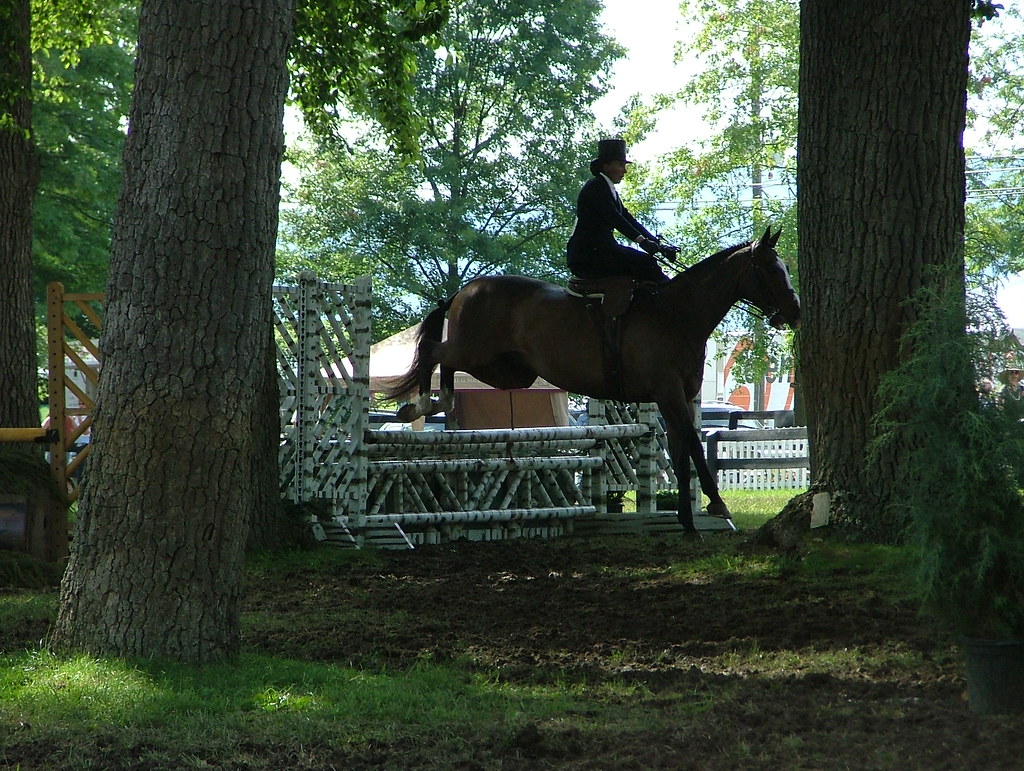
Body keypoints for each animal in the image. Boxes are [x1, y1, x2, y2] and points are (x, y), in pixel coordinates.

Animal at [383, 226, 801, 533]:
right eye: (770, 269)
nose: (795, 312)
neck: (677, 314)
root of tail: (465, 290)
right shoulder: (669, 394)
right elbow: (696, 448)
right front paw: (716, 504)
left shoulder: (678, 397)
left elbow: (683, 452)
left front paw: (687, 520)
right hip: (475, 352)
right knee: (434, 353)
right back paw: (420, 405)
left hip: (507, 370)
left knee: (446, 362)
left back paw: (436, 403)